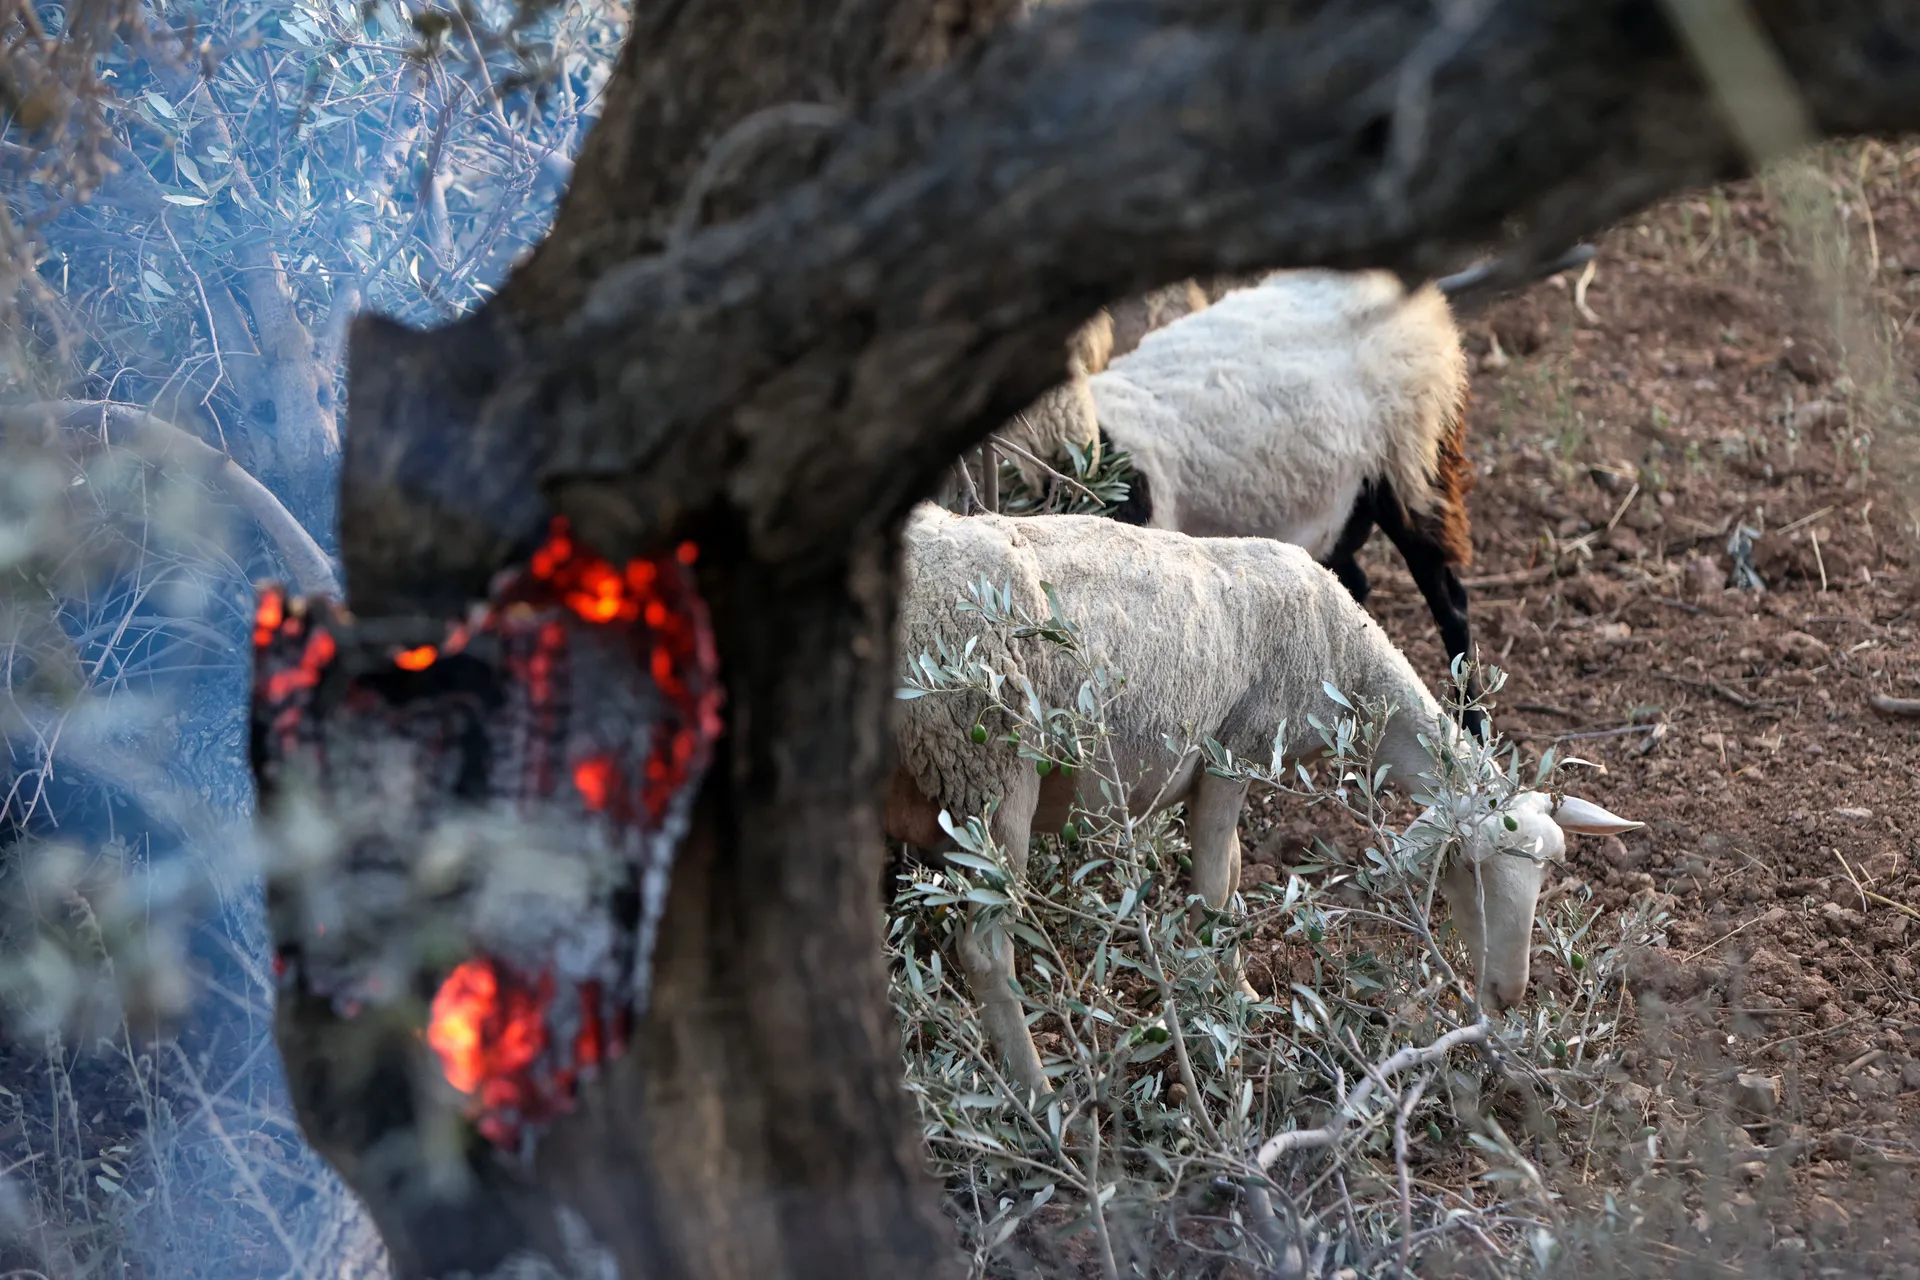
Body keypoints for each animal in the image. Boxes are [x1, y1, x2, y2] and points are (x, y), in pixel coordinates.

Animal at [887, 505, 1639, 1094]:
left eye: (1548, 872)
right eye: (1471, 869)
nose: (1508, 993)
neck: (1345, 657)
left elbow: (1237, 869)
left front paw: (1243, 989)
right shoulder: (1236, 752)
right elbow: (1217, 888)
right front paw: (1225, 1005)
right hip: (987, 769)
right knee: (987, 950)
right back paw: (1038, 1091)